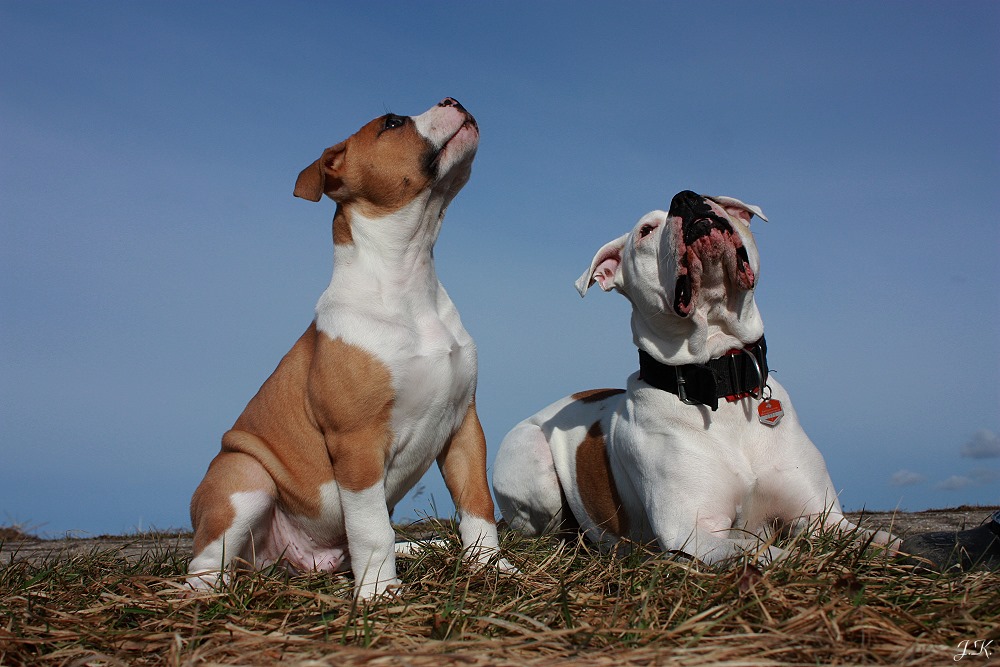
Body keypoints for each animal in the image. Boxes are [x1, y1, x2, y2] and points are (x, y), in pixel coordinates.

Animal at [190, 95, 512, 600]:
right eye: (392, 123)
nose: (454, 99)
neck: (407, 275)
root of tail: (290, 562)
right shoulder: (356, 442)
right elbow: (370, 526)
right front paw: (379, 594)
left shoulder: (464, 426)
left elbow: (477, 503)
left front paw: (494, 568)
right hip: (244, 477)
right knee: (203, 564)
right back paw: (212, 593)